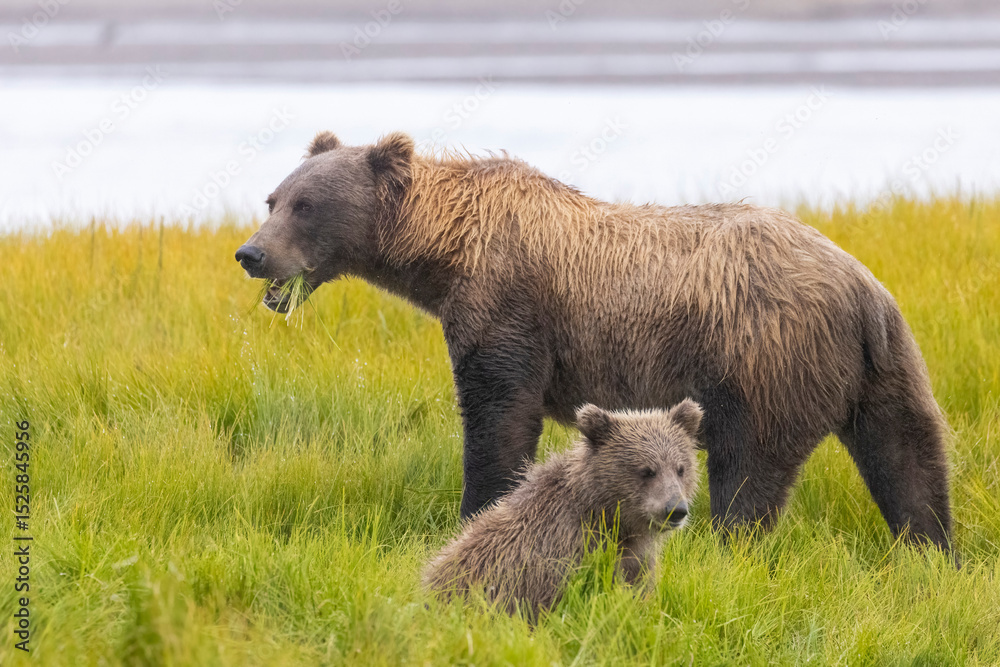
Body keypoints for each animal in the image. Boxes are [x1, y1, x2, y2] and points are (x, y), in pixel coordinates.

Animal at [235, 130, 953, 552]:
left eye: (305, 205)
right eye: (273, 197)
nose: (251, 253)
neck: (445, 255)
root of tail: (861, 288)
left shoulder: (511, 306)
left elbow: (498, 418)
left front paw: (476, 512)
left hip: (762, 356)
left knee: (748, 470)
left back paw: (723, 547)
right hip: (885, 365)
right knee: (909, 459)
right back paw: (932, 551)